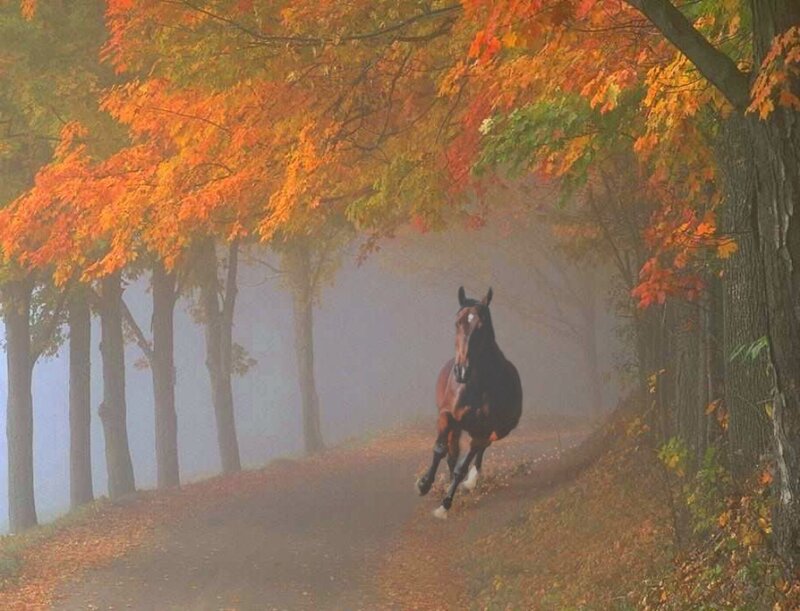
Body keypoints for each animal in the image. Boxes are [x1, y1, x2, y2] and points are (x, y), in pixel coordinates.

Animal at [416, 286, 522, 519]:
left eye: (482, 326)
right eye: (457, 322)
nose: (462, 371)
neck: (477, 385)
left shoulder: (483, 430)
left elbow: (461, 468)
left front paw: (445, 505)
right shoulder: (447, 416)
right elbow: (440, 450)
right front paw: (424, 484)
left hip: (496, 431)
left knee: (481, 449)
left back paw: (470, 482)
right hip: (458, 426)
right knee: (453, 454)